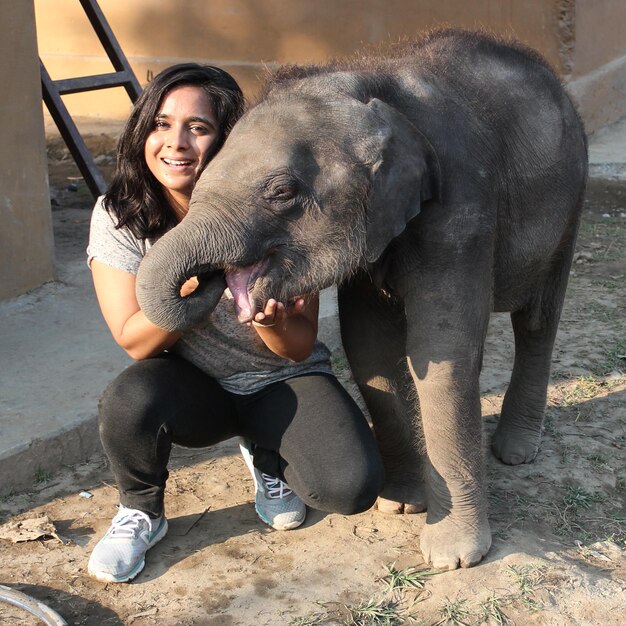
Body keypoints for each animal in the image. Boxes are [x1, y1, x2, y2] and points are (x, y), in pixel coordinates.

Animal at [135, 28, 584, 564]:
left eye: (281, 192)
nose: (208, 280)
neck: (371, 85)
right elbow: (369, 347)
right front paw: (399, 505)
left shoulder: (462, 206)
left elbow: (441, 353)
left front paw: (452, 556)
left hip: (568, 209)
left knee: (537, 321)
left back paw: (515, 452)